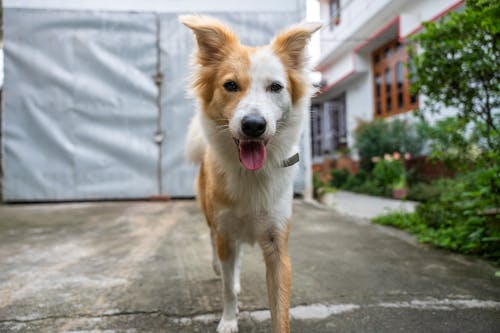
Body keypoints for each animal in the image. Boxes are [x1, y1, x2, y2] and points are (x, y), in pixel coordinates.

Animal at [182, 15, 318, 332]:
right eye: (230, 85)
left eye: (276, 87)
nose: (254, 125)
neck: (251, 174)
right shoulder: (224, 231)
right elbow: (227, 288)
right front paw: (229, 321)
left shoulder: (277, 242)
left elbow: (280, 305)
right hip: (212, 218)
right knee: (217, 250)